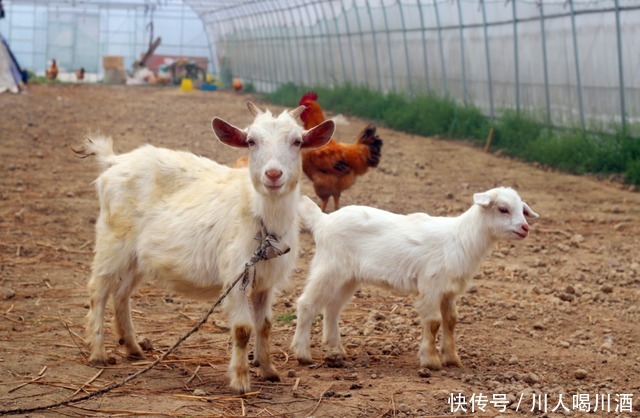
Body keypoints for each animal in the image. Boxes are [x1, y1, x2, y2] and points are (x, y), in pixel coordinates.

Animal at [75, 102, 336, 396]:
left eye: (297, 141)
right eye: (251, 141)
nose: (273, 174)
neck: (261, 216)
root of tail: (114, 161)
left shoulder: (266, 282)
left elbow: (265, 326)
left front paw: (269, 371)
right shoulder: (236, 276)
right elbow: (243, 329)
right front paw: (241, 381)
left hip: (137, 257)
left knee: (121, 294)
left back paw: (133, 347)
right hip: (112, 241)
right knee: (98, 290)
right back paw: (98, 353)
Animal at [292, 188, 536, 370]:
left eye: (523, 210)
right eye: (503, 209)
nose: (525, 228)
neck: (461, 238)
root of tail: (322, 220)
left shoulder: (448, 290)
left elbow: (451, 320)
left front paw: (452, 358)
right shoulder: (431, 284)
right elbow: (434, 321)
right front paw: (431, 361)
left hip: (347, 277)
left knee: (332, 308)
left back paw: (336, 350)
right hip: (328, 267)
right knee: (307, 303)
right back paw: (303, 353)